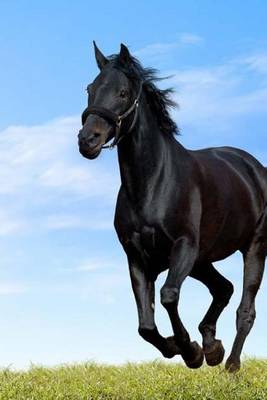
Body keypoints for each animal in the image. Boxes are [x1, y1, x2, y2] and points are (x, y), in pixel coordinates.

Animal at [77, 42, 267, 370]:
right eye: (90, 88)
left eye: (123, 92)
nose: (88, 140)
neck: (153, 184)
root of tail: (255, 168)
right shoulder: (138, 257)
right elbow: (145, 325)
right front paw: (185, 348)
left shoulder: (183, 247)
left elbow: (168, 296)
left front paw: (190, 351)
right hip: (203, 260)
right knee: (223, 288)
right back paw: (213, 347)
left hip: (254, 246)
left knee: (245, 309)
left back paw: (230, 364)